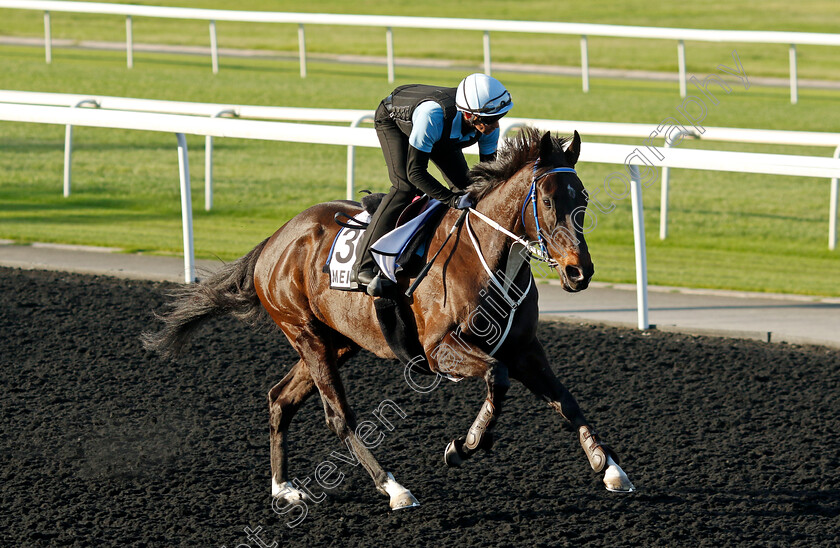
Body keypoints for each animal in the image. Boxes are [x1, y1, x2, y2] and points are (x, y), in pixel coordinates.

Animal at [141, 126, 632, 512]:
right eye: (547, 200)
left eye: (583, 197)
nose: (580, 272)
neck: (489, 257)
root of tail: (275, 240)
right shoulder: (439, 351)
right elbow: (498, 377)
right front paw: (465, 445)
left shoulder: (525, 347)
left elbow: (565, 400)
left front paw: (609, 467)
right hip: (304, 332)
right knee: (339, 417)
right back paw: (394, 488)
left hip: (339, 340)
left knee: (280, 398)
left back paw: (283, 488)